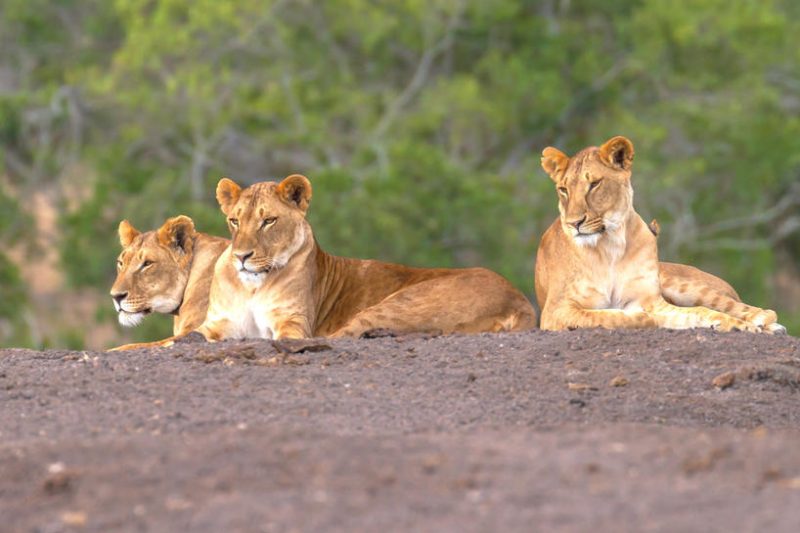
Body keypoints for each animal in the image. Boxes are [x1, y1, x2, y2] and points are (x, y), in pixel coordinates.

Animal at [113, 174, 537, 349]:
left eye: (146, 265)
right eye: (121, 262)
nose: (115, 297)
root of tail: (521, 300)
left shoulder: (291, 323)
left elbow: (143, 346)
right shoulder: (216, 326)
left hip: (401, 301)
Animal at [535, 135, 784, 333]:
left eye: (594, 184)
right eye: (563, 190)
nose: (574, 223)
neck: (610, 244)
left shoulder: (651, 300)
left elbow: (695, 311)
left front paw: (739, 325)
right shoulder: (556, 309)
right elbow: (607, 316)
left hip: (681, 285)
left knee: (760, 310)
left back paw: (764, 324)